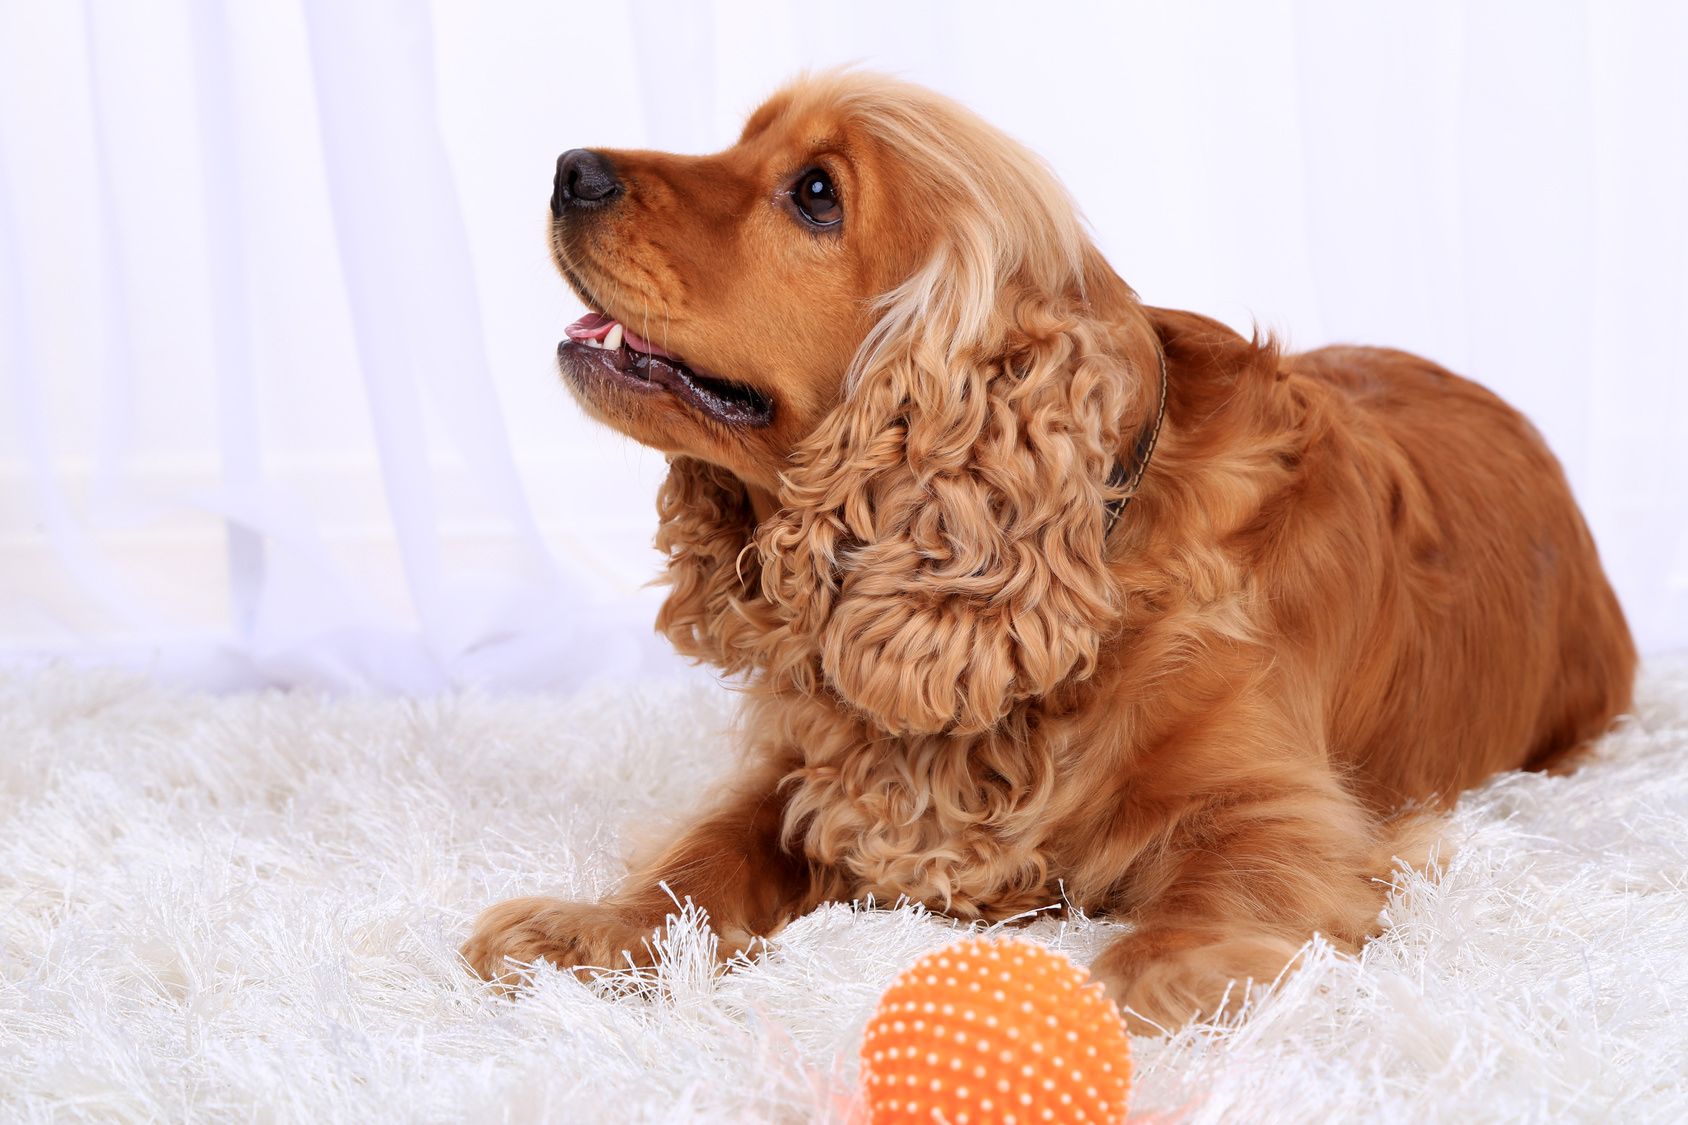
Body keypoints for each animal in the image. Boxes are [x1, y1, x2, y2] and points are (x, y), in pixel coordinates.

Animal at [462, 70, 1633, 1027]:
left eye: (816, 194)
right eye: (744, 142)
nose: (571, 168)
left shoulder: (1291, 812)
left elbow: (1214, 901)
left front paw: (1117, 997)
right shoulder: (806, 762)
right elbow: (706, 849)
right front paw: (594, 935)